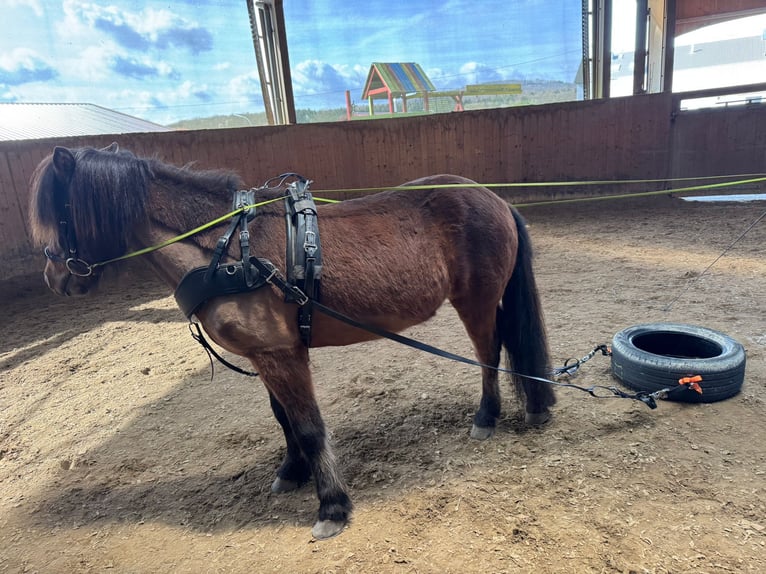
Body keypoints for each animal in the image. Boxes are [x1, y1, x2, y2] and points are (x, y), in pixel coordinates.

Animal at [29, 144, 555, 539]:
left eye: (60, 212)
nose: (54, 278)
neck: (226, 252)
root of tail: (494, 199)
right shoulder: (268, 354)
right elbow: (283, 418)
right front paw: (292, 472)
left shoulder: (281, 355)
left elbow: (308, 426)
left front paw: (332, 507)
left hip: (476, 302)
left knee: (489, 355)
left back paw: (486, 416)